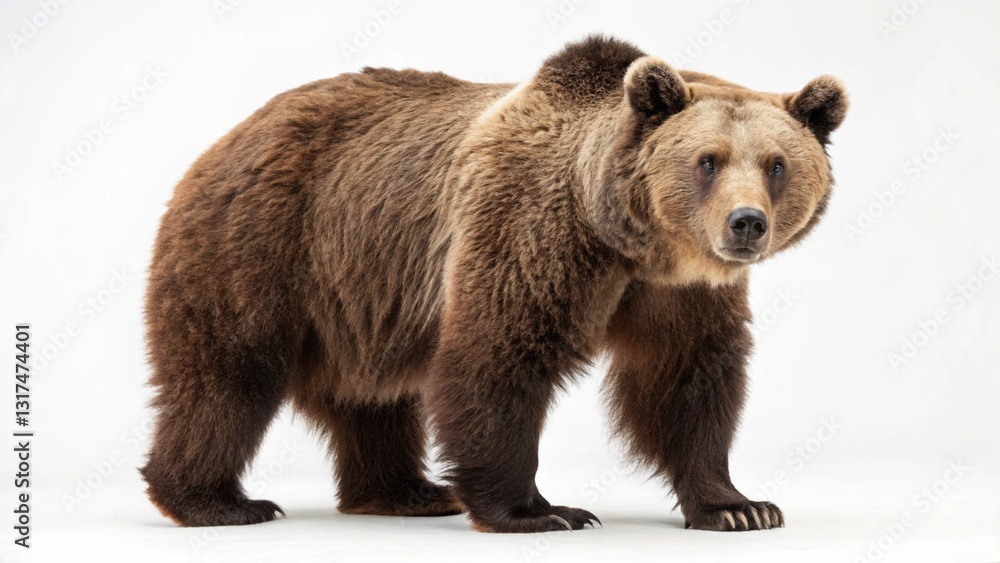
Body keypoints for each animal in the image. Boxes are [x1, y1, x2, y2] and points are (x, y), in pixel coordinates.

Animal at [140, 35, 846, 533]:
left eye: (777, 164)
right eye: (708, 160)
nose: (746, 223)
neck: (633, 241)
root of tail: (228, 134)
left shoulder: (679, 293)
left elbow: (686, 378)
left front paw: (740, 506)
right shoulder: (532, 230)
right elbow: (499, 354)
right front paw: (542, 511)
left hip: (363, 289)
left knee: (371, 396)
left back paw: (407, 492)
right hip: (265, 241)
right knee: (227, 374)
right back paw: (215, 501)